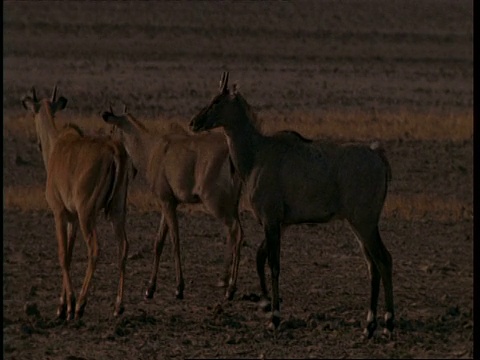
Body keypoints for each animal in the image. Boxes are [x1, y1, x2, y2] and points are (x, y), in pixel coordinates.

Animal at [22, 86, 131, 320]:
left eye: (33, 114)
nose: (37, 144)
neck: (56, 145)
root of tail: (114, 150)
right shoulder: (71, 218)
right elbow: (70, 254)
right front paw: (62, 304)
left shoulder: (60, 213)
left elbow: (63, 254)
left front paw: (67, 305)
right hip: (116, 210)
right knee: (123, 247)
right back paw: (118, 306)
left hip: (86, 214)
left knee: (95, 249)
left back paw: (81, 304)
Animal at [101, 105, 244, 300]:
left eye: (111, 129)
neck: (152, 149)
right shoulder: (167, 203)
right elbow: (158, 242)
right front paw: (150, 288)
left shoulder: (167, 203)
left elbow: (175, 241)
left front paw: (179, 287)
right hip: (232, 205)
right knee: (237, 233)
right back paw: (226, 282)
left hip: (216, 203)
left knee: (235, 231)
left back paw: (230, 288)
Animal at [189, 72, 396, 338]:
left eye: (217, 100)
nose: (194, 122)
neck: (256, 155)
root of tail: (378, 156)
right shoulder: (281, 223)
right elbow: (260, 257)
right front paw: (265, 304)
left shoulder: (271, 220)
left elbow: (274, 264)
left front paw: (275, 317)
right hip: (357, 225)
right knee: (372, 265)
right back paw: (369, 326)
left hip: (365, 222)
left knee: (383, 260)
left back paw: (387, 324)